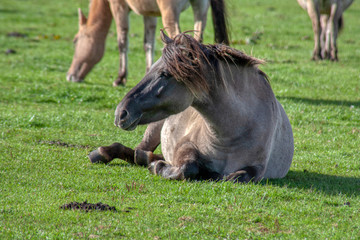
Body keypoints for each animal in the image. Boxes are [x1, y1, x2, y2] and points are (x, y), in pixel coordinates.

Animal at [66, 0, 229, 86]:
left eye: (75, 41)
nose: (70, 75)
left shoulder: (118, 6)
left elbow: (122, 41)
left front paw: (120, 78)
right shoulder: (150, 13)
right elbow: (148, 44)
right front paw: (148, 72)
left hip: (170, 10)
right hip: (200, 8)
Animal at [88, 31, 294, 182]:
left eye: (164, 74)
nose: (121, 112)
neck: (233, 133)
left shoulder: (257, 168)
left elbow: (236, 177)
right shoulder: (185, 146)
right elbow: (187, 167)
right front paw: (158, 167)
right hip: (154, 129)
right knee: (138, 152)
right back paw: (104, 154)